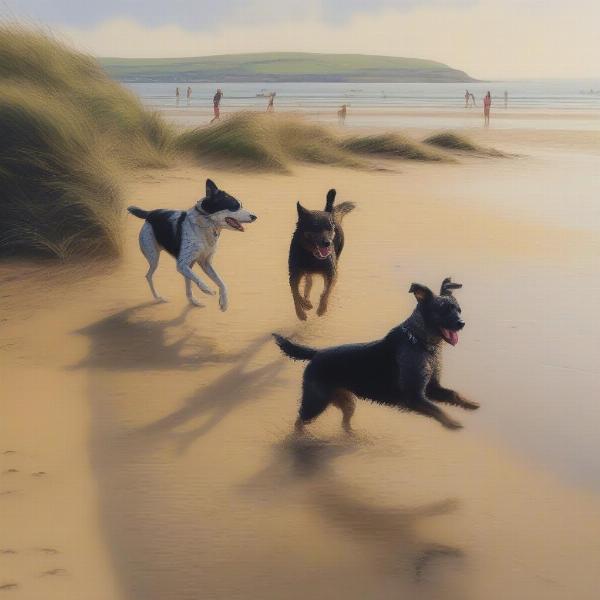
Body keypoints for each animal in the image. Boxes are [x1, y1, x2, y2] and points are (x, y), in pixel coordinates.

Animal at [127, 178, 256, 310]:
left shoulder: (205, 263)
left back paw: (193, 301)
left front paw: (224, 303)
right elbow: (199, 279)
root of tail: (150, 213)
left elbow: (222, 282)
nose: (254, 217)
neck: (206, 225)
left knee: (188, 284)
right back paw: (158, 298)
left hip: (188, 264)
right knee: (149, 276)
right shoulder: (181, 264)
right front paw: (208, 290)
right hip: (154, 258)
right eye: (234, 207)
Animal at [276, 278, 478, 434]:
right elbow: (437, 410)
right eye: (443, 310)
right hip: (315, 402)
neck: (419, 341)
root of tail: (316, 353)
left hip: (347, 402)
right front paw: (452, 422)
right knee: (299, 421)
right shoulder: (414, 396)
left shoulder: (431, 388)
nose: (462, 323)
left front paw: (470, 403)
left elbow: (453, 394)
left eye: (458, 309)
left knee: (344, 423)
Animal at [288, 190, 354, 322]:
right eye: (315, 227)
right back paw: (307, 299)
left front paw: (321, 308)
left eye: (330, 228)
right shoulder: (294, 274)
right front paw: (302, 310)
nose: (327, 243)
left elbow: (326, 292)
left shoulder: (330, 272)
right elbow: (295, 294)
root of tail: (330, 211)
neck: (312, 255)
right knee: (308, 282)